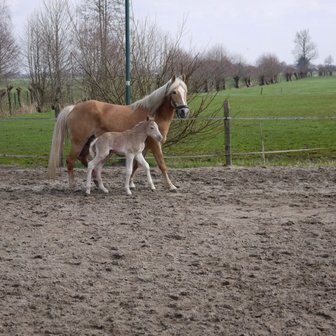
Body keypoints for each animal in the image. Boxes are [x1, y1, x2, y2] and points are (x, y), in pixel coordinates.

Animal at [47, 75, 189, 190]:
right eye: (174, 92)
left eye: (185, 92)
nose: (184, 112)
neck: (154, 113)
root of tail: (74, 107)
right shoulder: (155, 144)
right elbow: (161, 164)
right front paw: (171, 186)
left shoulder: (144, 147)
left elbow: (137, 165)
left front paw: (130, 183)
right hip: (79, 141)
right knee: (71, 160)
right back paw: (73, 185)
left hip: (89, 142)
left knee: (85, 160)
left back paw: (97, 182)